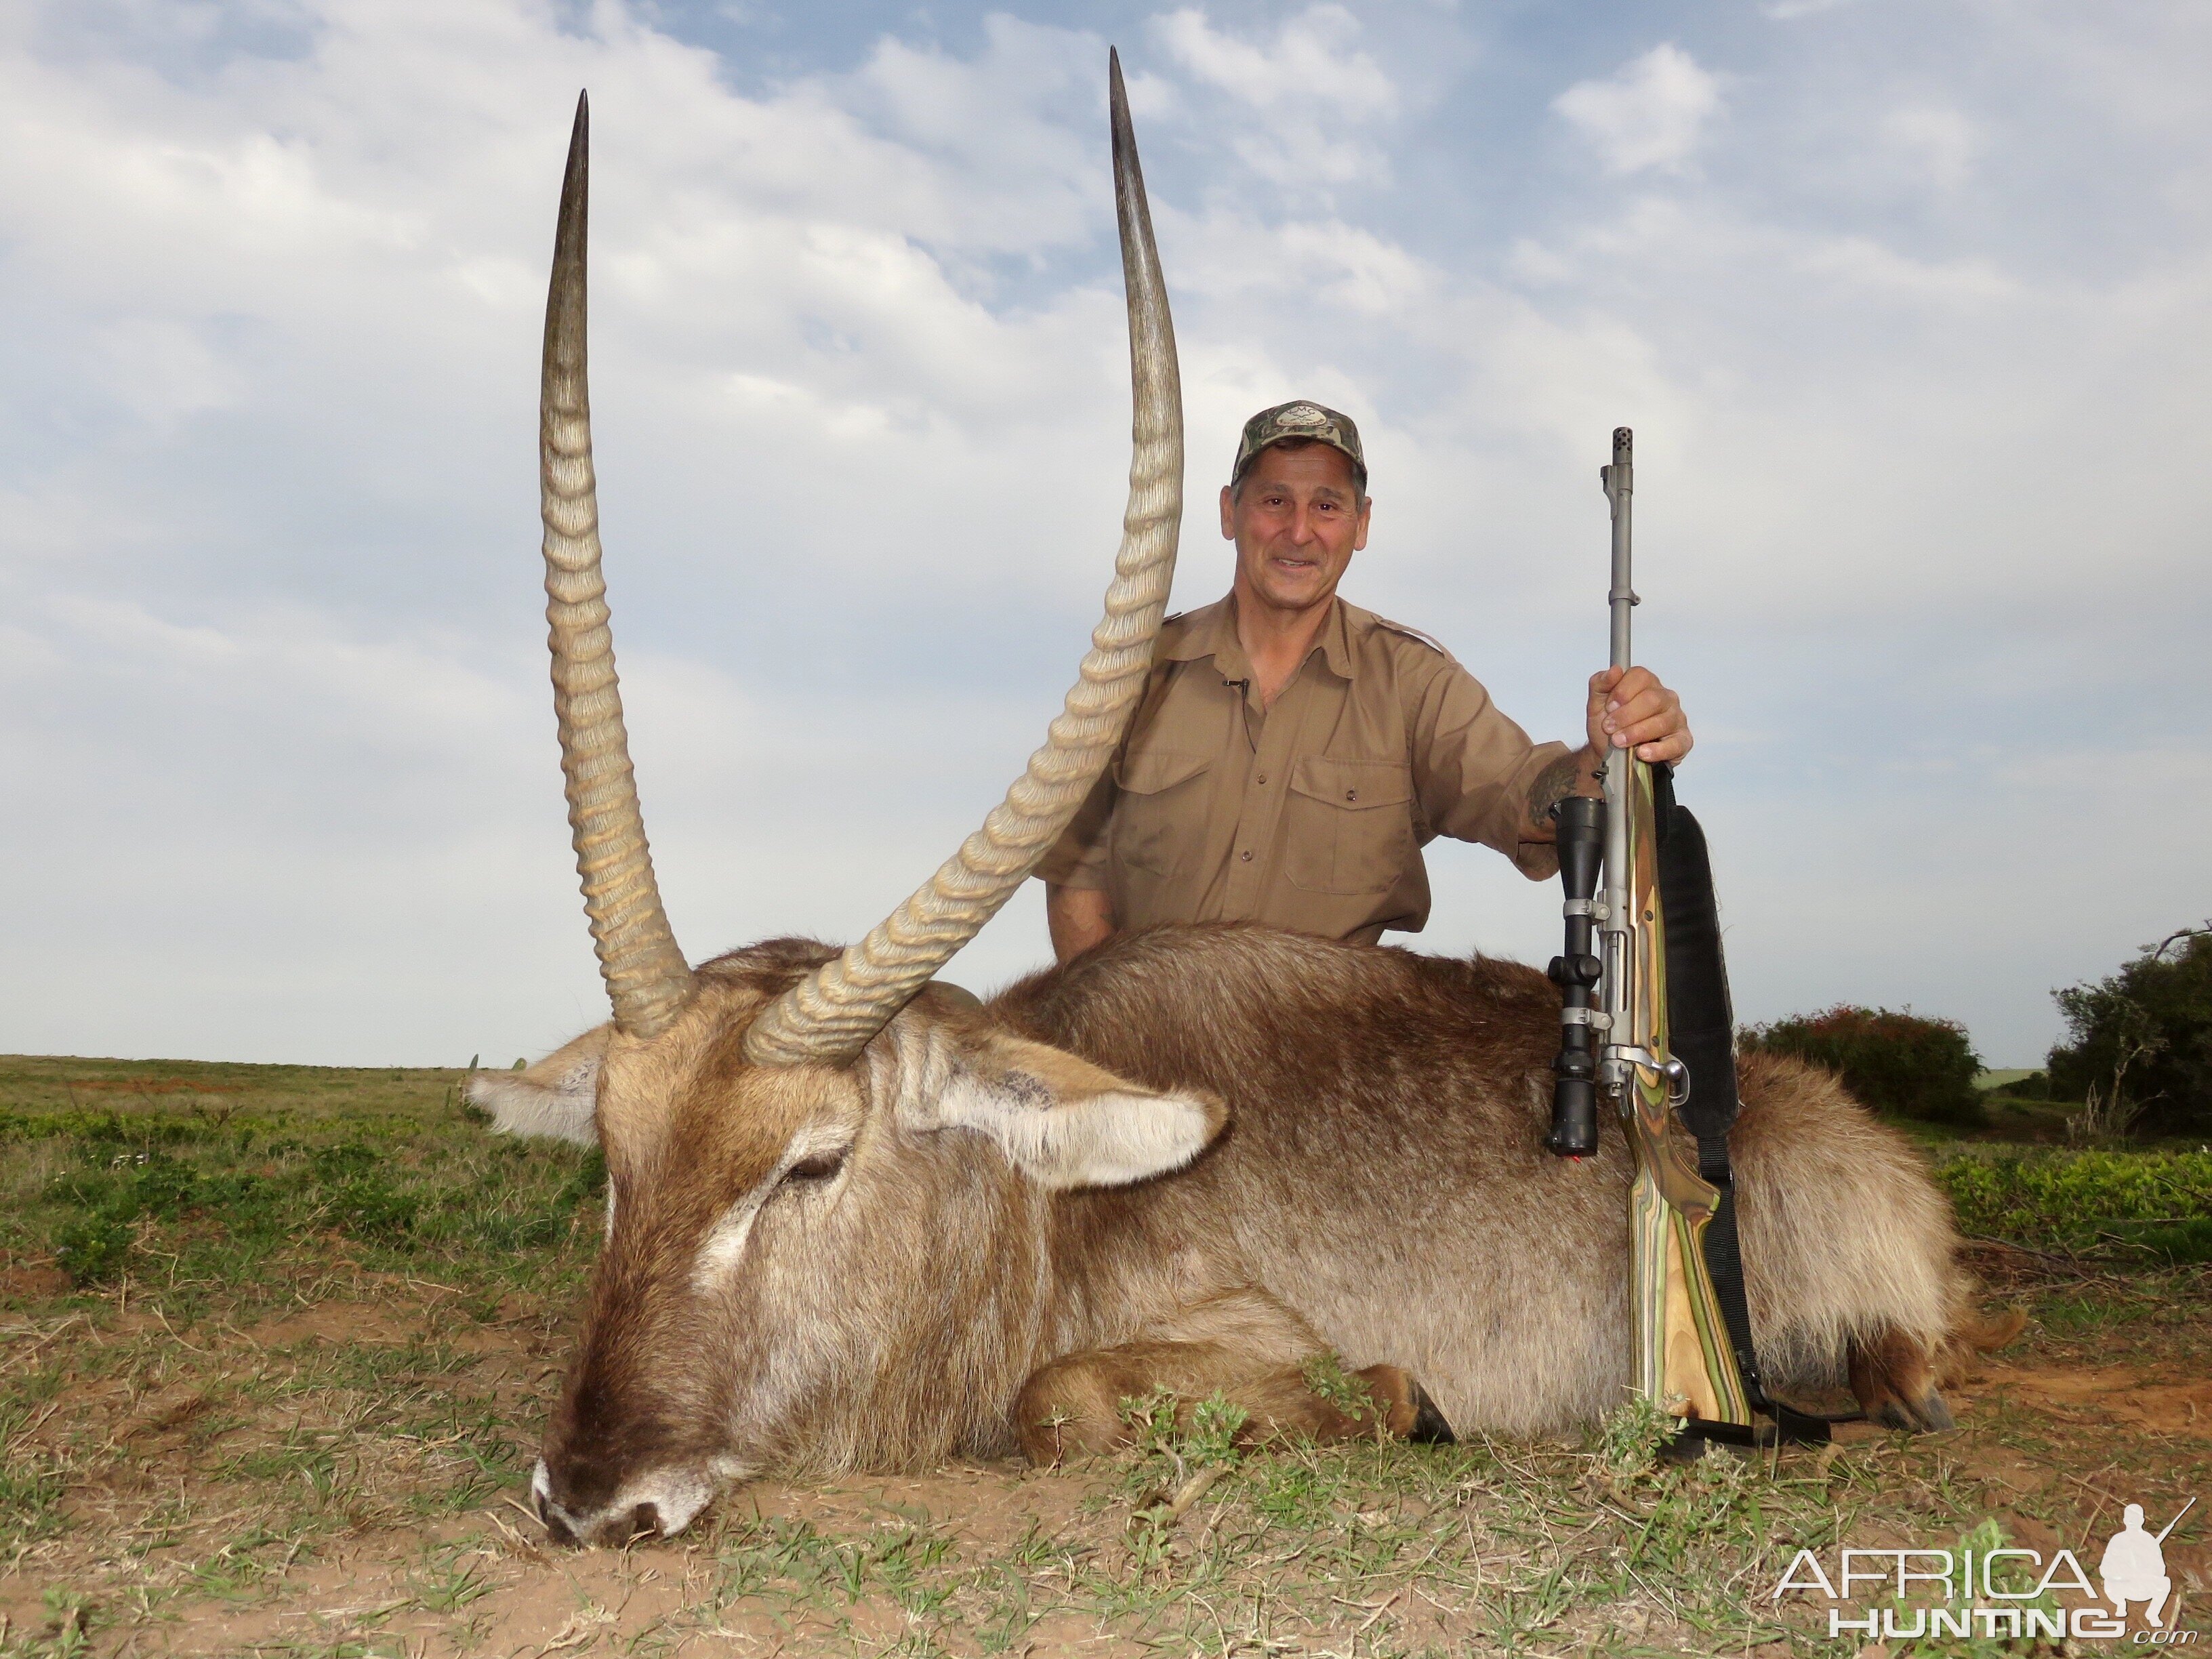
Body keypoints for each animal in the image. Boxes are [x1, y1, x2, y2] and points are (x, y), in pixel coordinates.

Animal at [484, 61, 2008, 1548]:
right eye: (614, 1157)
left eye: (810, 1164)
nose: (588, 1497)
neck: (1037, 1217)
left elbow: (1061, 1398)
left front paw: (1400, 1398)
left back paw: (1890, 1385)